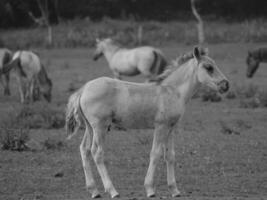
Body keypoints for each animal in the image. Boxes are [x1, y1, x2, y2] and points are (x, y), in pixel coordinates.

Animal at [65, 47, 230, 198]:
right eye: (208, 67)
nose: (226, 85)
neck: (172, 91)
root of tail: (84, 89)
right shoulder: (161, 126)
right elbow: (155, 154)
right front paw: (150, 189)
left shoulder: (171, 128)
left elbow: (170, 156)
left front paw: (174, 190)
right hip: (100, 127)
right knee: (97, 153)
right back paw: (112, 191)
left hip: (89, 127)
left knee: (84, 149)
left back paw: (94, 191)